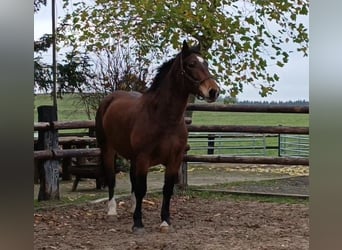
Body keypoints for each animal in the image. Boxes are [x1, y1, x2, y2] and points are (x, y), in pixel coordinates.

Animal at [95, 40, 220, 233]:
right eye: (191, 64)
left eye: (206, 63)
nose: (213, 91)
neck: (163, 117)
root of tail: (110, 99)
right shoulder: (144, 157)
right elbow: (142, 189)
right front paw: (138, 224)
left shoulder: (175, 159)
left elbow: (166, 189)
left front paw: (165, 221)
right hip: (108, 149)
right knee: (112, 179)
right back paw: (112, 212)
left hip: (133, 157)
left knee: (132, 181)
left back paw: (133, 208)